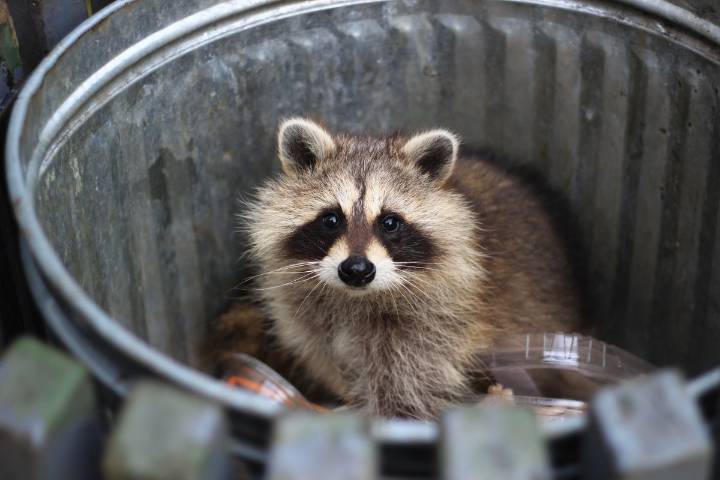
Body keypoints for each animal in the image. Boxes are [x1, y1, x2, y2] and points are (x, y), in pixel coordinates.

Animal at [232, 118, 583, 419]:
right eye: (331, 219)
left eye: (390, 222)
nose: (356, 269)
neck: (356, 298)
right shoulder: (308, 320)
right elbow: (327, 359)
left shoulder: (436, 327)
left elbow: (408, 389)